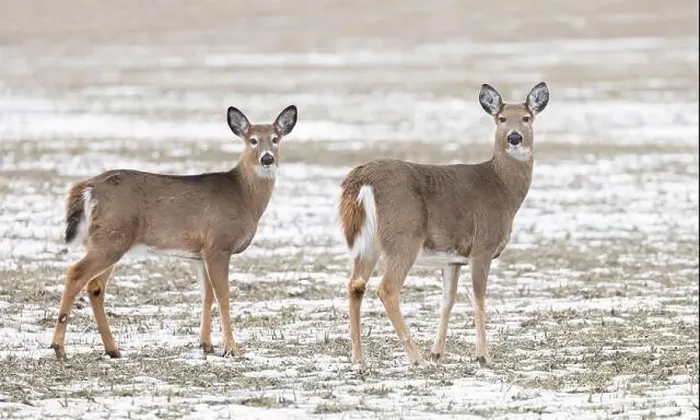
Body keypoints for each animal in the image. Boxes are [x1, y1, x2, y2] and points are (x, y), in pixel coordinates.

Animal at [50, 105, 298, 360]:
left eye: (275, 139)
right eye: (252, 140)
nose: (267, 158)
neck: (244, 197)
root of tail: (87, 188)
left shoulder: (200, 253)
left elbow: (206, 295)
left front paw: (206, 344)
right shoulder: (219, 243)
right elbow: (223, 296)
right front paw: (231, 348)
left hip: (109, 238)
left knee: (95, 286)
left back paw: (112, 349)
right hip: (112, 237)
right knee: (75, 273)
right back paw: (59, 347)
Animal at [338, 82, 549, 366]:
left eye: (527, 118)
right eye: (501, 119)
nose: (514, 137)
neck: (502, 188)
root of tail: (361, 179)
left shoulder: (453, 258)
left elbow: (448, 300)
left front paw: (438, 353)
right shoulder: (482, 247)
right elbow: (479, 298)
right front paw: (483, 356)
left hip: (368, 243)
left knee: (355, 285)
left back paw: (358, 357)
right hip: (403, 235)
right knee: (387, 289)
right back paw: (415, 357)